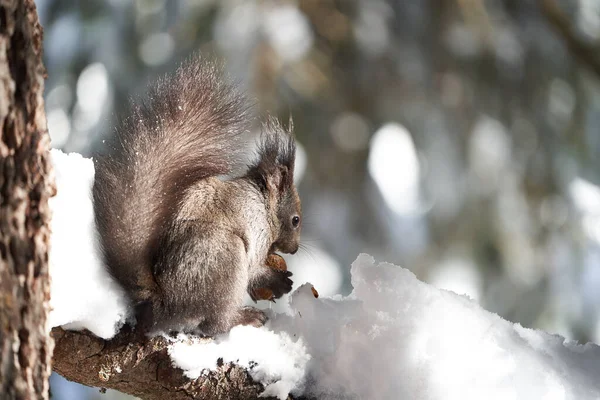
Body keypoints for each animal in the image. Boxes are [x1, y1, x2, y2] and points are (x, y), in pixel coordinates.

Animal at [91, 56, 302, 336]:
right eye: (295, 220)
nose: (295, 249)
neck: (262, 202)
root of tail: (164, 305)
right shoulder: (256, 233)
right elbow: (256, 269)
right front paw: (276, 280)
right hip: (223, 258)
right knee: (215, 324)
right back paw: (245, 318)